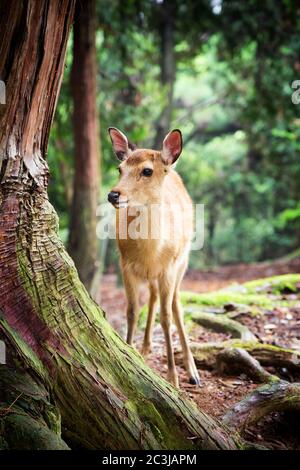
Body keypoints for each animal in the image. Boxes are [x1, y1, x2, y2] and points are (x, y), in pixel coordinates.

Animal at [107, 126, 199, 388]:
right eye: (120, 169)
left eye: (147, 170)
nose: (113, 195)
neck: (151, 252)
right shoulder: (125, 265)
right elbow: (131, 311)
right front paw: (129, 351)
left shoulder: (169, 267)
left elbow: (166, 317)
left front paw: (173, 378)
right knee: (153, 295)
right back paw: (145, 348)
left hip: (183, 262)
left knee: (176, 304)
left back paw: (192, 370)